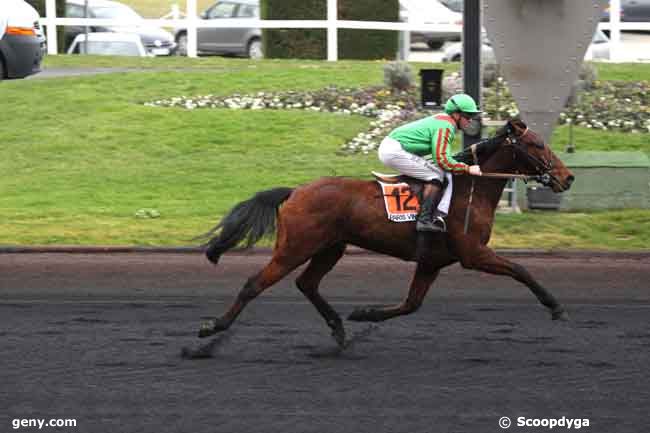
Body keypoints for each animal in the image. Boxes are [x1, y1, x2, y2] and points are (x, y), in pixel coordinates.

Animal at [196, 117, 572, 344]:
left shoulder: (432, 262)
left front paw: (364, 313)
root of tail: (294, 191)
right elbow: (521, 270)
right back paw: (212, 328)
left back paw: (338, 328)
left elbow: (411, 304)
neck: (471, 189)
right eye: (537, 145)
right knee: (254, 284)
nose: (567, 178)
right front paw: (555, 306)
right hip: (294, 248)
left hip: (330, 248)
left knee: (307, 284)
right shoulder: (473, 253)